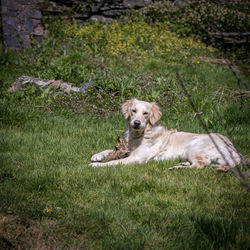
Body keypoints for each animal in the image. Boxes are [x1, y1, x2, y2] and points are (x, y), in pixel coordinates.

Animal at [89, 97, 242, 170]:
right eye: (133, 111)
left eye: (146, 113)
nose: (137, 123)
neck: (137, 135)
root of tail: (232, 148)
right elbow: (109, 150)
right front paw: (97, 155)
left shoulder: (136, 158)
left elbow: (114, 162)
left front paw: (97, 165)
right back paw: (181, 164)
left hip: (194, 147)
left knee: (200, 165)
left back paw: (176, 168)